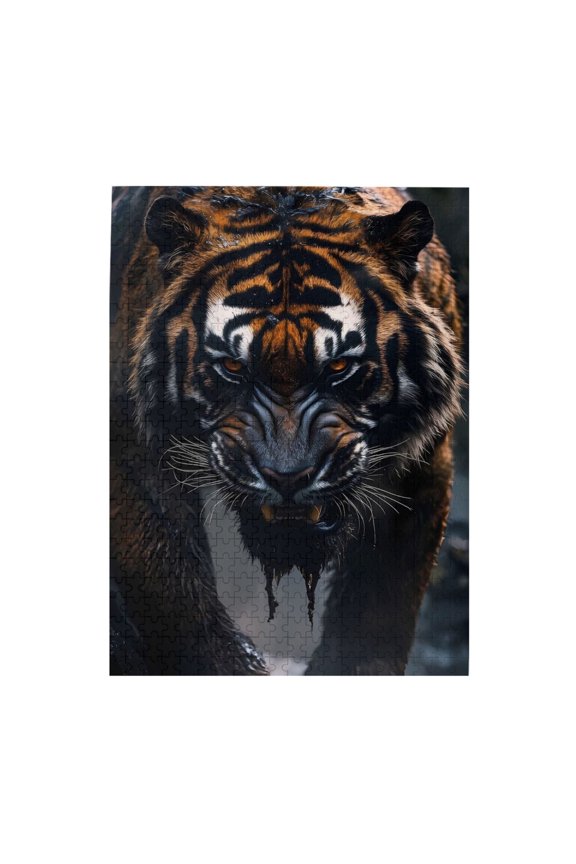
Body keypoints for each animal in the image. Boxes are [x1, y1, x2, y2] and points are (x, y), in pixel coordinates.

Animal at [110, 186, 463, 675]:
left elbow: (374, 611)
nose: (288, 477)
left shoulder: (424, 465)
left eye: (339, 367)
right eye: (233, 367)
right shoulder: (133, 458)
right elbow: (182, 605)